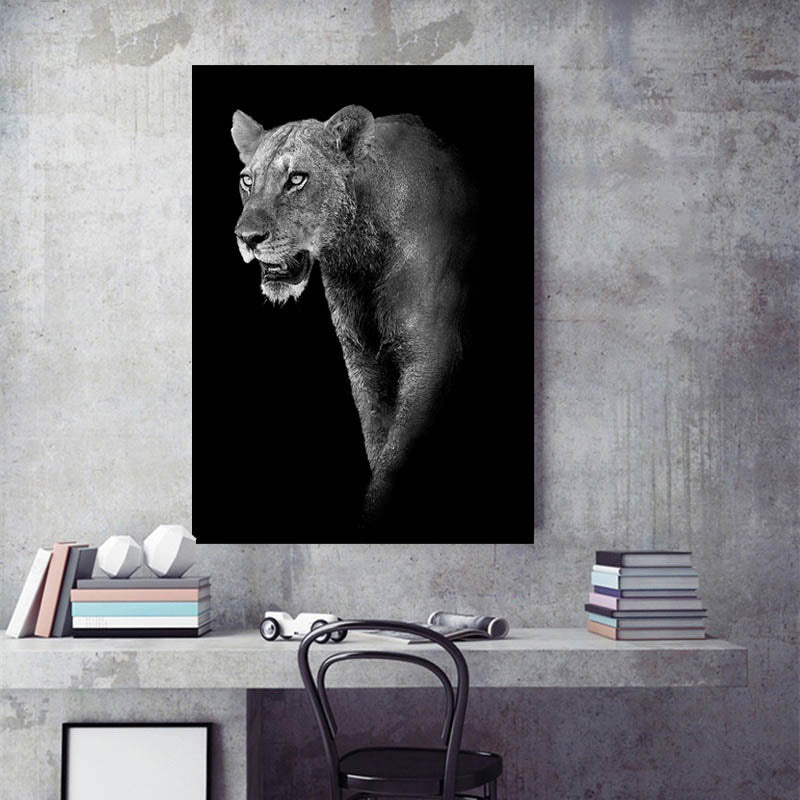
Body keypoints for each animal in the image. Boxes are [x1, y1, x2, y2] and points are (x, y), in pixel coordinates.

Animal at [231, 105, 474, 522]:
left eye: (296, 179)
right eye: (248, 180)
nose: (246, 238)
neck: (357, 256)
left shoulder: (431, 354)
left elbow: (394, 458)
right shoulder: (361, 357)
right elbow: (378, 439)